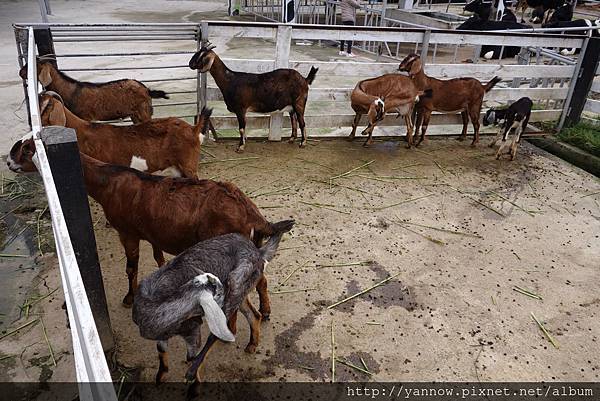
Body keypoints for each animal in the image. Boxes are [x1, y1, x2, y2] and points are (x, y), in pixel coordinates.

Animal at [20, 56, 169, 122]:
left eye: (34, 66)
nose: (20, 72)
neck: (71, 91)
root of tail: (147, 89)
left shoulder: (85, 117)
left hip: (143, 111)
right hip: (135, 114)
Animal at [132, 225, 292, 382]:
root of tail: (258, 252)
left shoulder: (192, 327)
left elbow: (192, 353)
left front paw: (192, 373)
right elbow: (161, 350)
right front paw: (160, 376)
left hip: (236, 287)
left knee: (216, 333)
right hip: (240, 290)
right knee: (254, 315)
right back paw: (252, 345)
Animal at [189, 43, 318, 150]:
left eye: (202, 55)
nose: (190, 64)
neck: (230, 80)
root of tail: (305, 79)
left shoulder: (240, 109)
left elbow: (241, 128)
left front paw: (240, 146)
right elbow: (243, 128)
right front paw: (244, 142)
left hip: (299, 102)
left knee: (302, 122)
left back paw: (303, 143)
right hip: (291, 106)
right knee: (294, 120)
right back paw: (291, 139)